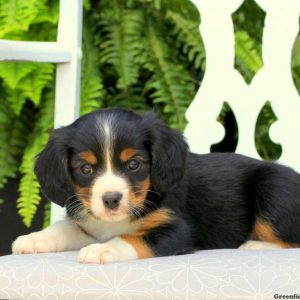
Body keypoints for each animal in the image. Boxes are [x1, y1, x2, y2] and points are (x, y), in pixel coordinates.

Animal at [12, 109, 300, 264]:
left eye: (134, 164)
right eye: (85, 169)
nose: (111, 199)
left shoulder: (177, 230)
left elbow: (130, 238)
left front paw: (101, 250)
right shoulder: (90, 224)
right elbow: (64, 227)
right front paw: (32, 239)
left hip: (273, 188)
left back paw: (256, 246)